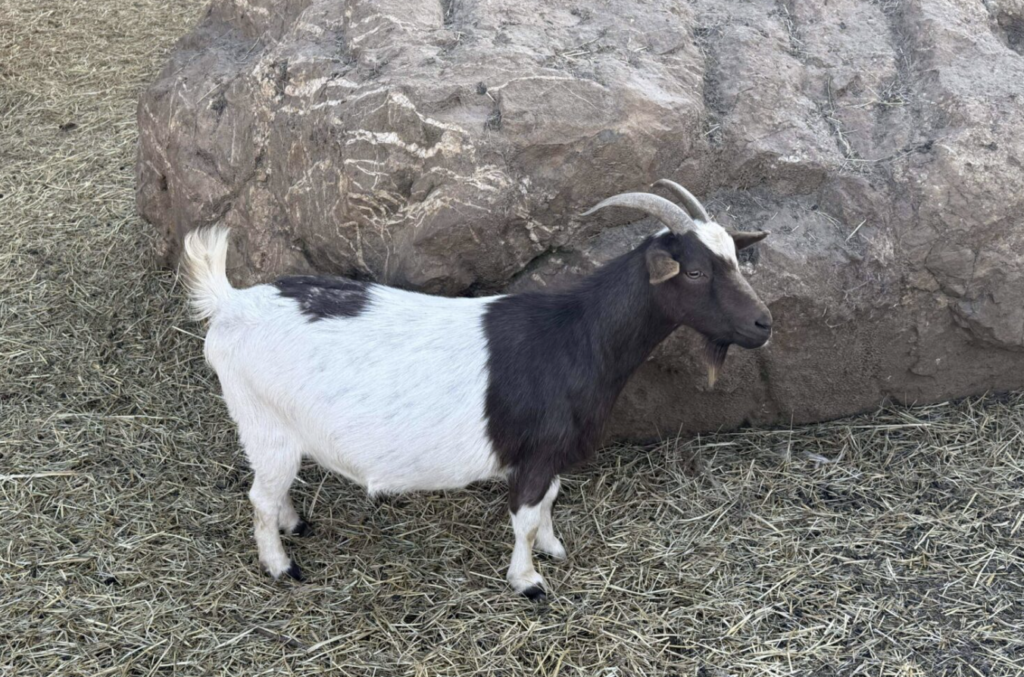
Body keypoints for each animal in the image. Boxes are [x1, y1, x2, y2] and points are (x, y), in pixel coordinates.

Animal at [182, 181, 772, 598]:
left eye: (735, 259)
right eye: (694, 272)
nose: (763, 323)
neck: (574, 335)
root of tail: (230, 302)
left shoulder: (549, 455)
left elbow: (550, 502)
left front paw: (554, 548)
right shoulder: (537, 453)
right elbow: (525, 517)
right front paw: (528, 581)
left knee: (273, 489)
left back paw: (296, 524)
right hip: (263, 423)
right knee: (260, 495)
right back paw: (281, 565)